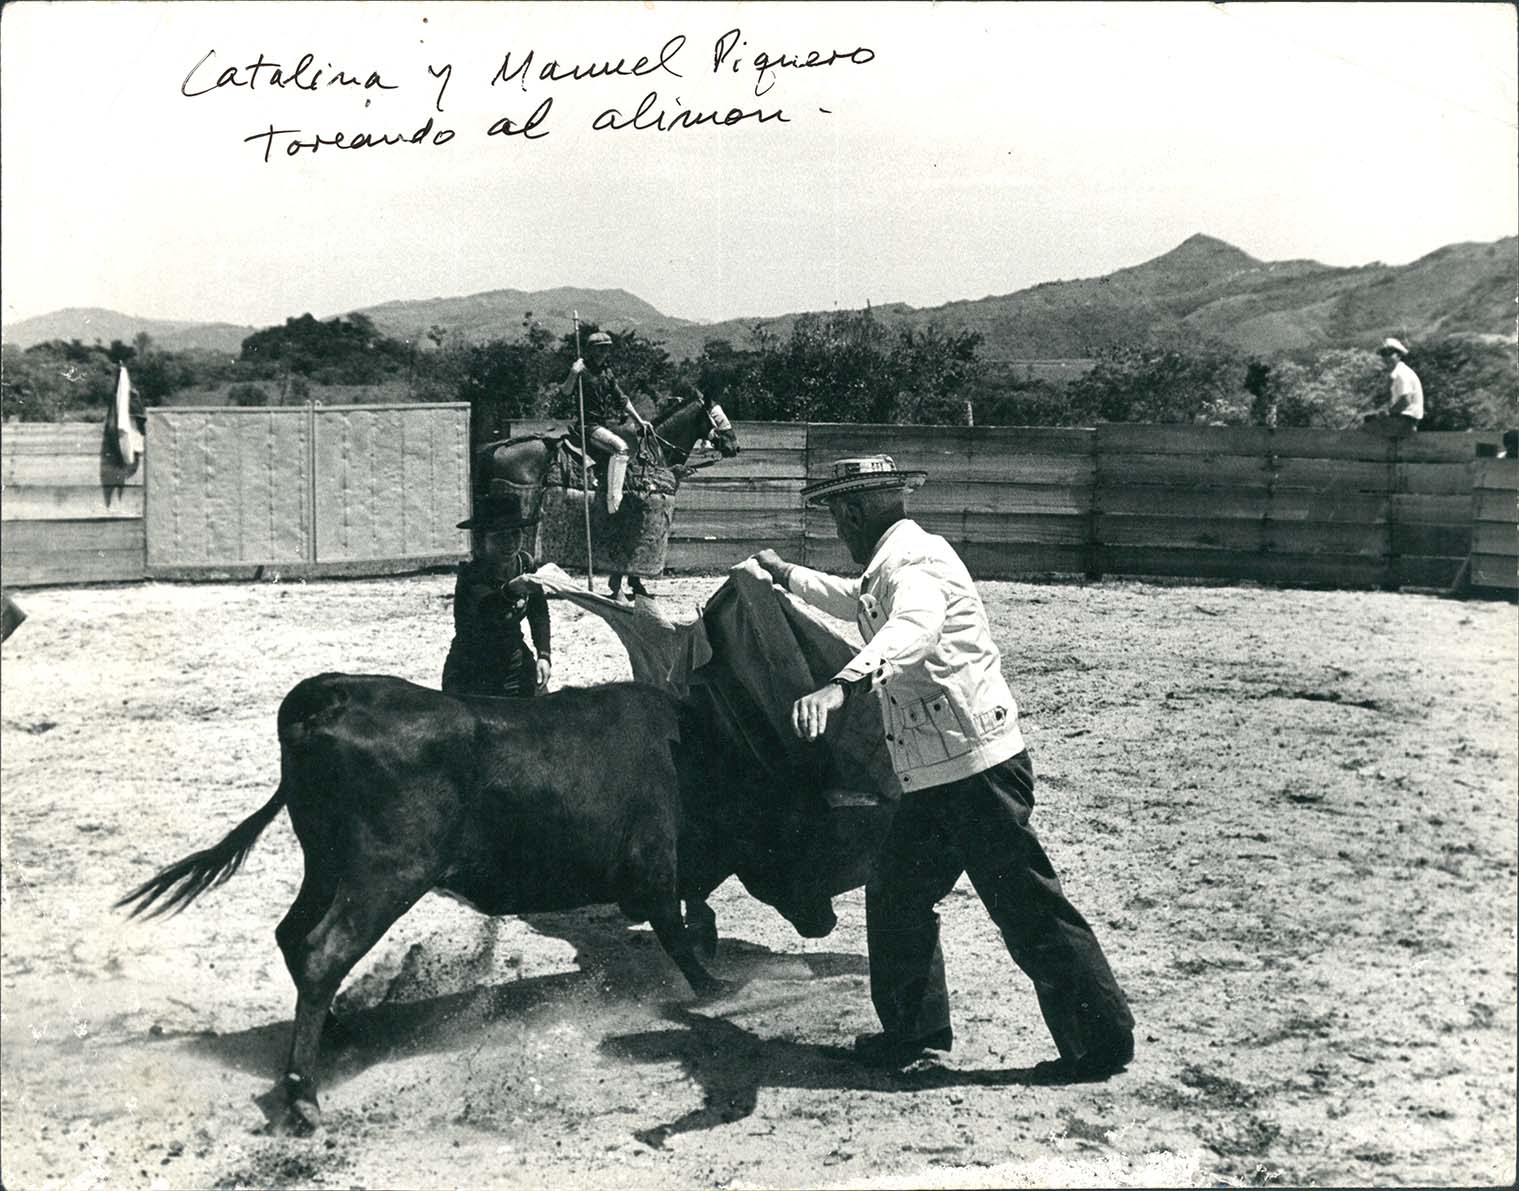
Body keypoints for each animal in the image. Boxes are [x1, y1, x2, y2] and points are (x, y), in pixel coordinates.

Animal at [473, 391, 735, 601]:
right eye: (718, 415)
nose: (734, 446)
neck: (652, 451)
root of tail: (495, 448)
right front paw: (621, 590)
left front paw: (635, 587)